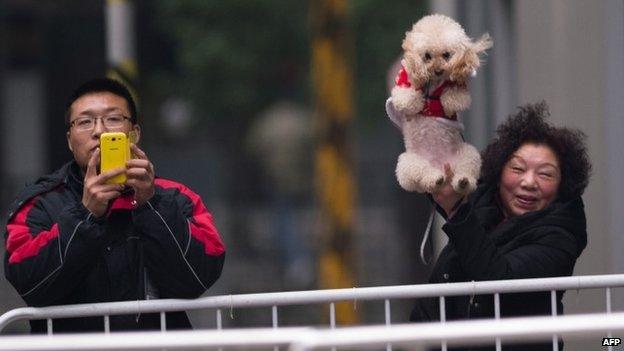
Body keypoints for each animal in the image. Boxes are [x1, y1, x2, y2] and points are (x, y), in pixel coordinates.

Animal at [386, 14, 492, 195]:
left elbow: (455, 97)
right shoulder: (404, 82)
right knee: (424, 176)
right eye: (427, 56)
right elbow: (406, 98)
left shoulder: (459, 87)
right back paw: (435, 179)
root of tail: (440, 165)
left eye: (446, 55)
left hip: (468, 154)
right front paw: (417, 99)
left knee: (465, 173)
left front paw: (447, 103)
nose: (438, 71)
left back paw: (463, 182)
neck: (434, 83)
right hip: (408, 164)